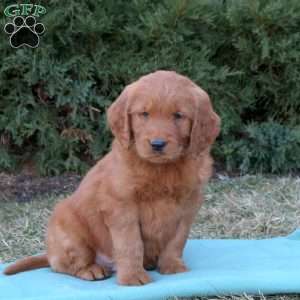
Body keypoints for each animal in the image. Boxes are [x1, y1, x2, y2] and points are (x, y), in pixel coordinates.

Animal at [4, 70, 220, 286]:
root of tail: (49, 253)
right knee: (62, 265)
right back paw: (91, 269)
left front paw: (172, 266)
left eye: (178, 116)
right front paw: (132, 276)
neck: (162, 168)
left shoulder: (188, 206)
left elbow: (177, 240)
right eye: (144, 114)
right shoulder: (122, 206)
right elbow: (130, 243)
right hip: (70, 231)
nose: (157, 144)